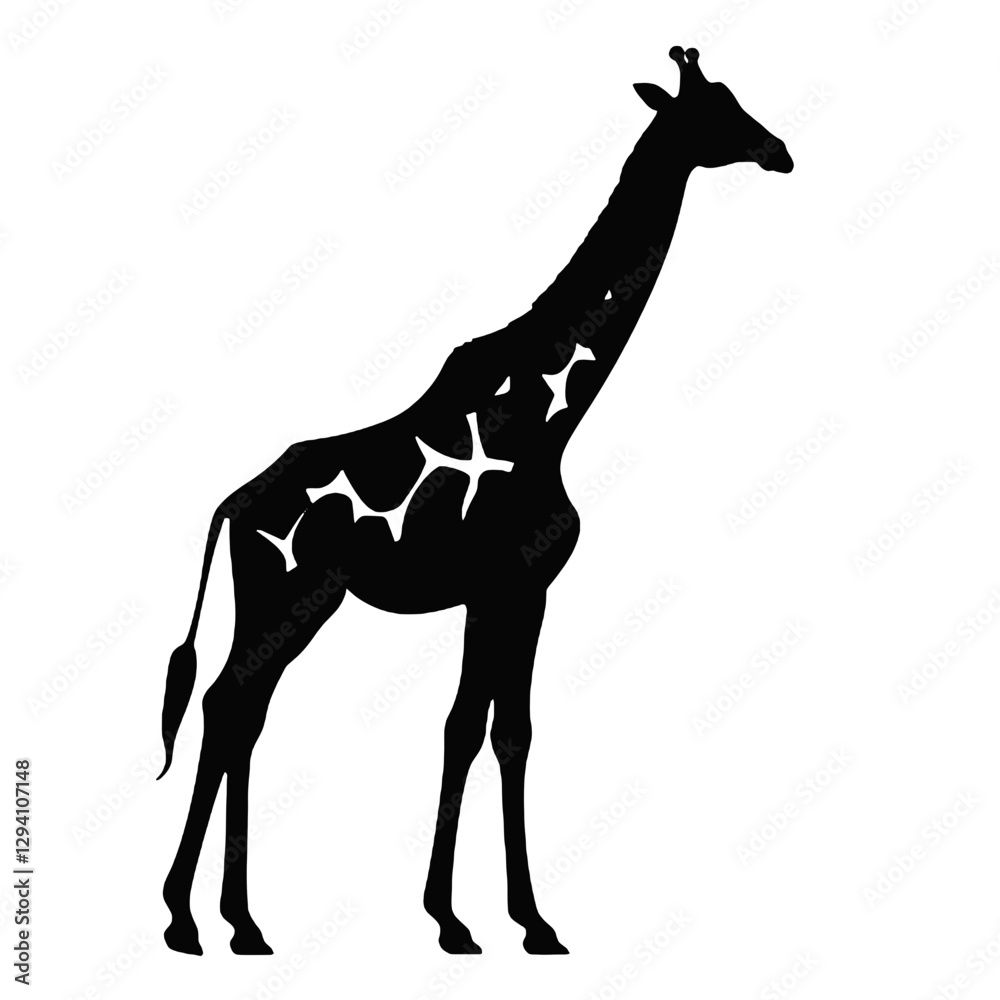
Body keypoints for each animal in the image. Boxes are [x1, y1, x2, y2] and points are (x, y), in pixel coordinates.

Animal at [158, 46, 793, 958]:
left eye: (736, 101)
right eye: (714, 112)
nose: (781, 152)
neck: (548, 414)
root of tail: (235, 505)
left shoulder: (503, 594)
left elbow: (489, 731)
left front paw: (492, 919)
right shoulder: (513, 585)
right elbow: (493, 730)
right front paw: (494, 921)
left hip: (280, 604)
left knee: (238, 709)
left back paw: (238, 923)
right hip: (290, 594)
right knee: (229, 703)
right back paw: (187, 918)